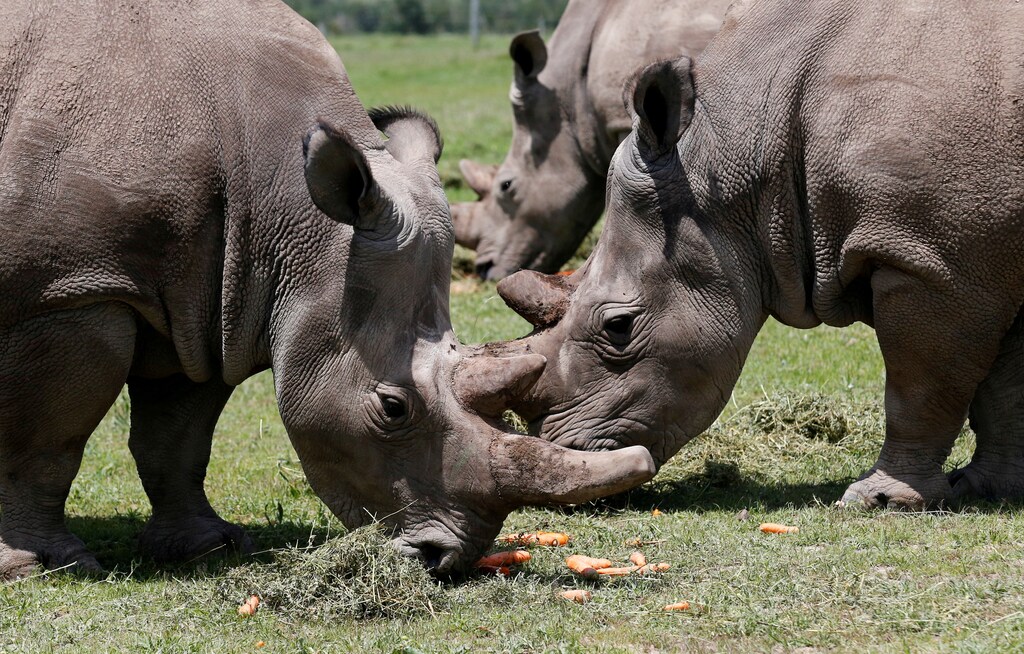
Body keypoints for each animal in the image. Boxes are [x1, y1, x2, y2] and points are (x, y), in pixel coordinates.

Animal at [0, 0, 655, 580]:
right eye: (392, 408)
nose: (443, 560)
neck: (287, 204)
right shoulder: (70, 290)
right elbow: (47, 438)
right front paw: (44, 567)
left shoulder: (207, 301)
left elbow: (179, 435)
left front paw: (207, 548)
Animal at [496, 0, 1024, 509]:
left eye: (618, 326)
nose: (566, 452)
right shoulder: (985, 254)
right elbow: (1003, 388)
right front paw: (987, 488)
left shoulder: (929, 259)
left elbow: (916, 386)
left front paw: (879, 499)